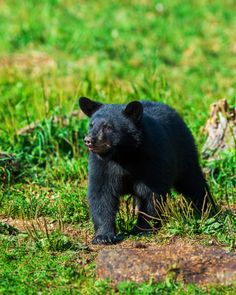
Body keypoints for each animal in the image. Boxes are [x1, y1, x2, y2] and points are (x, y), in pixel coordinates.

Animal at [79, 97, 216, 245]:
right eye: (91, 125)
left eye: (108, 127)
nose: (88, 140)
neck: (123, 155)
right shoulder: (102, 165)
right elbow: (101, 194)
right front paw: (103, 236)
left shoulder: (152, 159)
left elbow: (151, 194)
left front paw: (142, 229)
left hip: (183, 152)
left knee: (193, 182)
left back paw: (208, 210)